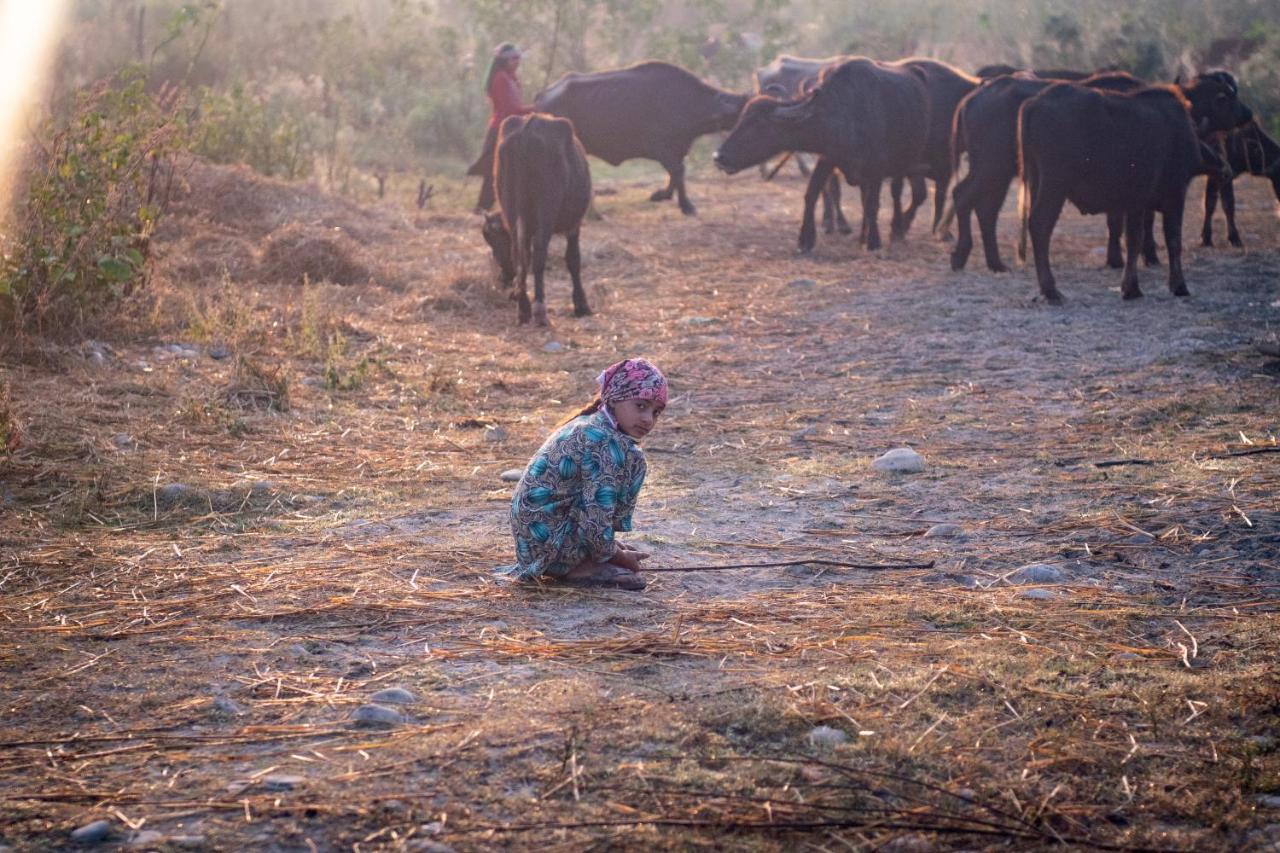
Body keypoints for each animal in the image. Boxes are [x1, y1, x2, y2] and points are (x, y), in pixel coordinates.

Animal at [481, 113, 591, 325]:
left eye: (495, 241)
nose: (504, 279)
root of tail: (527, 131)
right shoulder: (574, 225)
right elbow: (573, 259)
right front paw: (581, 304)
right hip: (546, 208)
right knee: (540, 251)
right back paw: (539, 309)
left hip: (511, 205)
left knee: (519, 252)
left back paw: (523, 308)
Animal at [532, 61, 747, 213]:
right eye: (741, 112)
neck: (688, 102)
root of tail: (541, 97)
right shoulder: (661, 148)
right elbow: (678, 171)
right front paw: (686, 205)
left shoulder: (677, 150)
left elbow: (676, 173)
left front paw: (662, 195)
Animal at [711, 54, 931, 249]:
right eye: (742, 118)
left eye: (757, 124)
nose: (719, 157)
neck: (845, 115)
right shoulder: (827, 158)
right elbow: (812, 193)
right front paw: (805, 240)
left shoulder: (876, 169)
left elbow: (872, 204)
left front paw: (873, 241)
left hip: (903, 163)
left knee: (896, 194)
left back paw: (892, 233)